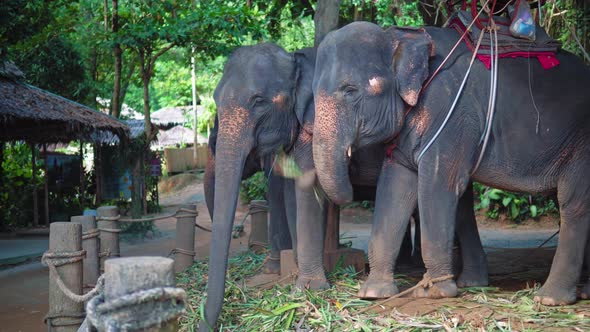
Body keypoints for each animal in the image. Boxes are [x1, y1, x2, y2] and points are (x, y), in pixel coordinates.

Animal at [312, 21, 590, 306]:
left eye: (350, 91)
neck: (401, 37)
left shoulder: (450, 115)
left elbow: (437, 185)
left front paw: (434, 291)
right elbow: (395, 187)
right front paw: (373, 293)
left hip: (581, 142)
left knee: (573, 203)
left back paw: (550, 298)